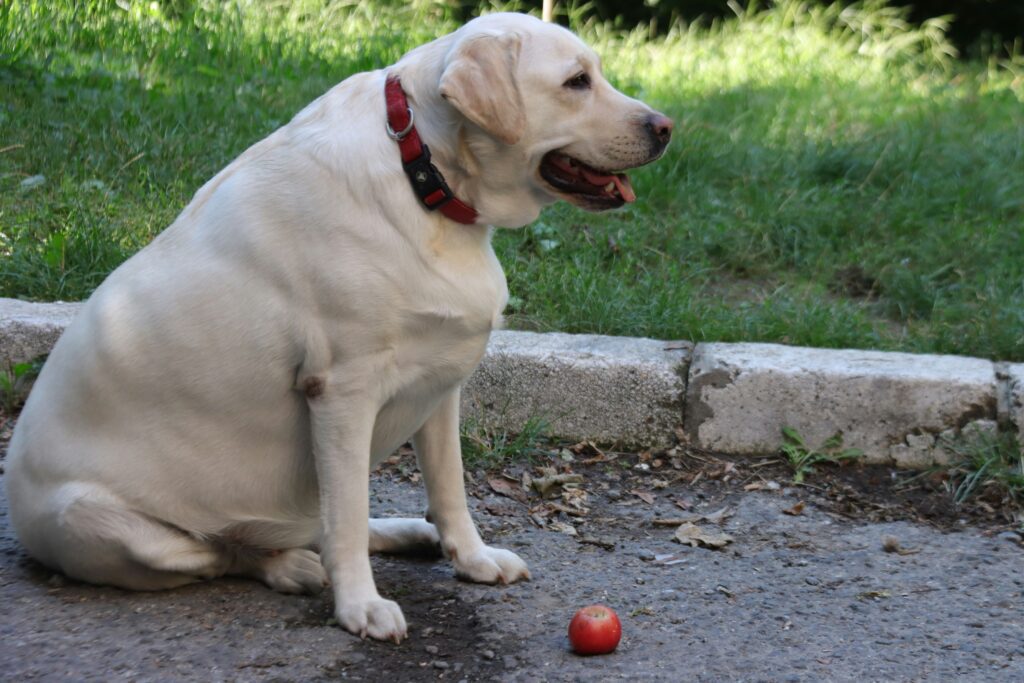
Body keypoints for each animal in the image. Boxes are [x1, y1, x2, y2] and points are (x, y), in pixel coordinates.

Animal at [4, 9, 671, 643]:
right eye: (576, 82)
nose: (664, 127)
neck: (423, 170)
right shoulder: (341, 393)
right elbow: (345, 515)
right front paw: (360, 607)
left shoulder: (442, 385)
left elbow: (449, 490)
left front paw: (473, 559)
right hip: (104, 522)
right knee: (228, 553)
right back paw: (294, 565)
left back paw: (403, 533)